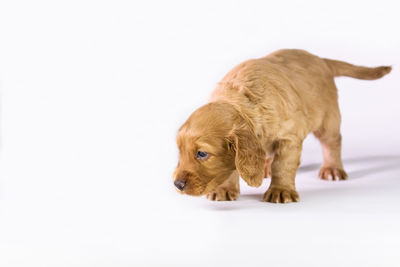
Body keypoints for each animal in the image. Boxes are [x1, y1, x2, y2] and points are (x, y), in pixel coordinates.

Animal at [173, 49, 390, 204]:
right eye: (180, 151)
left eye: (202, 154)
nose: (177, 184)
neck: (240, 100)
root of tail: (320, 60)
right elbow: (231, 166)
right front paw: (224, 189)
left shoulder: (289, 138)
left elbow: (283, 164)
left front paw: (280, 191)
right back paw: (265, 166)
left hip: (327, 119)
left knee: (332, 142)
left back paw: (332, 169)